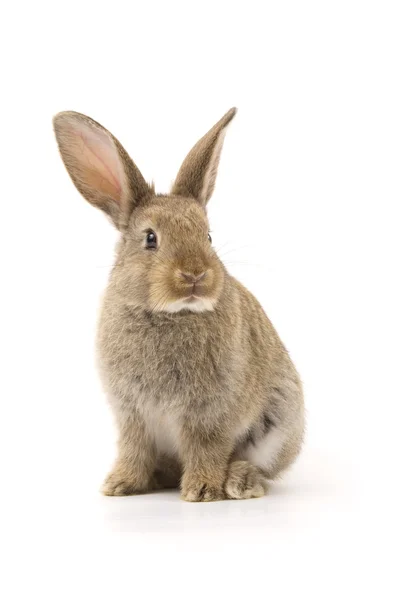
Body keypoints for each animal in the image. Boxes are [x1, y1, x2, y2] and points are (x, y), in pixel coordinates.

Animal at [52, 106, 304, 502]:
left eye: (208, 236)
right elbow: (133, 449)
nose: (195, 274)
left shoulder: (210, 417)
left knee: (260, 466)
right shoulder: (132, 415)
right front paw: (119, 485)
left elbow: (207, 449)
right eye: (150, 238)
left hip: (278, 424)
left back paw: (240, 482)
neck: (172, 315)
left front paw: (200, 490)